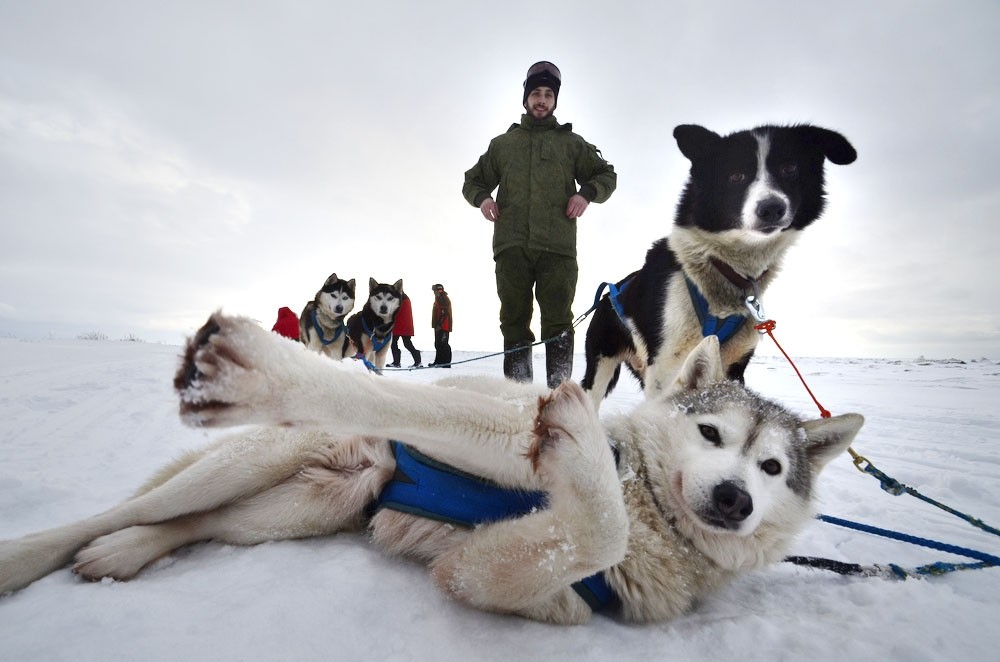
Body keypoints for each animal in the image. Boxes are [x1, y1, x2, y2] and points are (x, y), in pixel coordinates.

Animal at [0, 314, 860, 624]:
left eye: (772, 467)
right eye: (710, 432)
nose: (734, 498)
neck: (647, 499)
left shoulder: (499, 577)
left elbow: (590, 538)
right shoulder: (497, 427)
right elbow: (411, 403)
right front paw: (275, 373)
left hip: (298, 510)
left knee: (190, 523)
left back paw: (126, 553)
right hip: (255, 462)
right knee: (128, 509)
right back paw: (31, 554)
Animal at [584, 124, 856, 410]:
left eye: (790, 168)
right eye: (735, 175)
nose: (772, 208)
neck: (721, 270)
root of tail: (607, 294)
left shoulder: (734, 365)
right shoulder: (665, 365)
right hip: (602, 367)